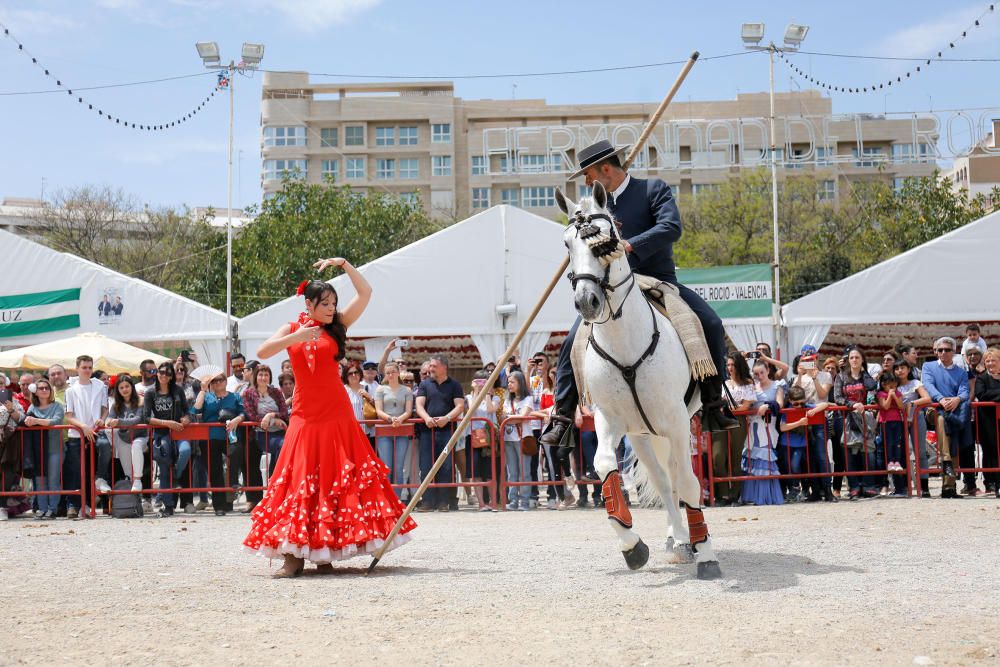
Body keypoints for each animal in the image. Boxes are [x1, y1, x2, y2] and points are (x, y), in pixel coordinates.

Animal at [556, 183, 720, 580]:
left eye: (606, 238)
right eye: (568, 244)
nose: (586, 301)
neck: (625, 340)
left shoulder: (676, 422)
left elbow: (689, 482)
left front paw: (706, 554)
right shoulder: (609, 420)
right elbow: (604, 467)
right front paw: (632, 544)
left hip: (671, 427)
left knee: (676, 477)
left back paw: (689, 542)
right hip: (642, 435)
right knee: (662, 480)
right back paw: (677, 540)